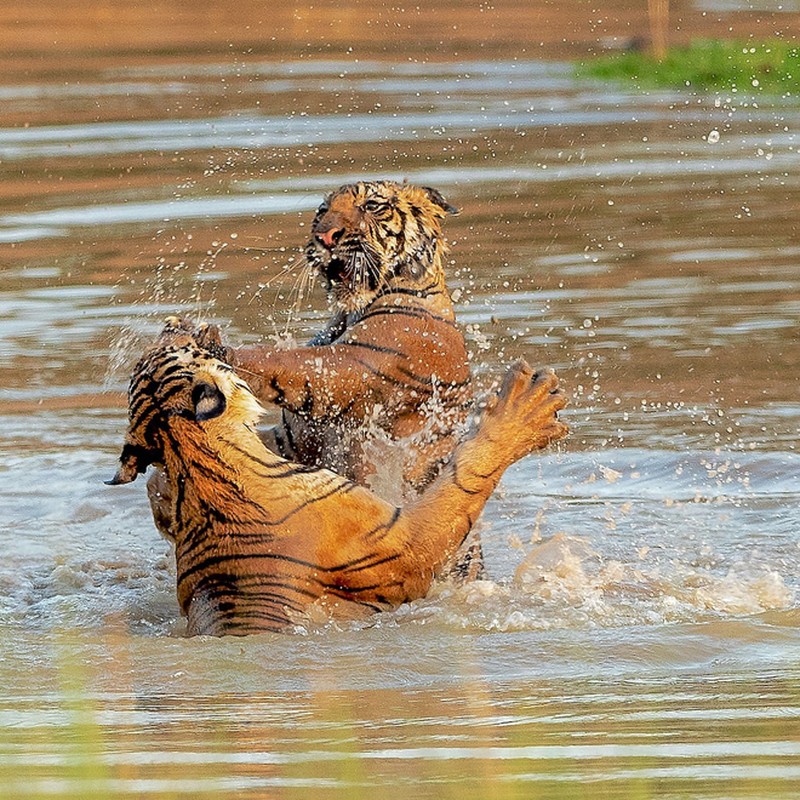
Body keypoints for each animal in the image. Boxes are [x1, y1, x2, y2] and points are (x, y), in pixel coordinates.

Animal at [108, 318, 568, 636]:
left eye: (169, 344)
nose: (171, 323)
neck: (198, 467)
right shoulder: (405, 541)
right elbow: (465, 476)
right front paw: (526, 407)